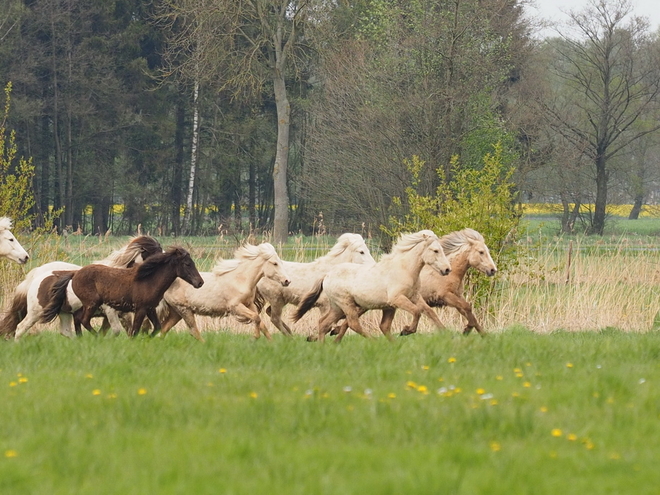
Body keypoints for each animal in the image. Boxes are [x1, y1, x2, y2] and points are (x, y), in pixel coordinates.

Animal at [0, 237, 164, 340]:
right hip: (37, 312)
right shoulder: (110, 312)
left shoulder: (120, 315)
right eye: (155, 253)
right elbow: (116, 331)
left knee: (65, 331)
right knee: (20, 327)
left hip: (63, 312)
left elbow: (123, 331)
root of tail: (36, 275)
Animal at [34, 246, 201, 340]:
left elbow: (157, 327)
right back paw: (97, 337)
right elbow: (135, 331)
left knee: (78, 318)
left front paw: (147, 339)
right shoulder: (140, 309)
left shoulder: (150, 309)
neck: (149, 280)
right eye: (187, 264)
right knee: (84, 320)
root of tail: (75, 274)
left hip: (87, 305)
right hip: (92, 303)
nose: (200, 282)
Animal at [157, 243, 292, 342]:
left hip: (176, 312)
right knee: (193, 331)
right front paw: (254, 338)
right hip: (184, 310)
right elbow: (256, 318)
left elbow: (261, 323)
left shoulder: (249, 305)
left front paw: (271, 344)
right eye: (275, 263)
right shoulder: (235, 307)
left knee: (164, 329)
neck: (241, 280)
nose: (287, 281)